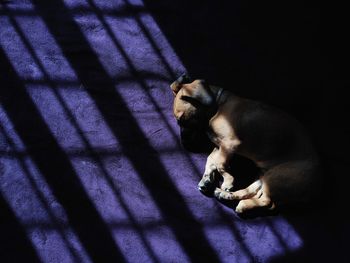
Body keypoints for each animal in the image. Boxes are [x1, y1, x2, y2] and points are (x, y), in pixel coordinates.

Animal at [171, 75, 322, 214]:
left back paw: (241, 203)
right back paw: (227, 195)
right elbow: (211, 160)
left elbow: (220, 164)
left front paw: (228, 181)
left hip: (277, 176)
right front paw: (207, 179)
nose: (184, 144)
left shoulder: (229, 145)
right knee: (252, 191)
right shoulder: (220, 147)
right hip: (265, 175)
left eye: (183, 119)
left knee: (267, 202)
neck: (218, 106)